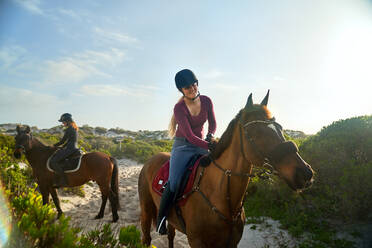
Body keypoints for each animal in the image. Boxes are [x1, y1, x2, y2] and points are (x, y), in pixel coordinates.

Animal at [139, 91, 314, 248]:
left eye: (279, 127)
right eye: (257, 132)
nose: (305, 173)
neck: (220, 196)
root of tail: (150, 160)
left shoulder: (231, 243)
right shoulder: (196, 242)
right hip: (146, 211)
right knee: (146, 237)